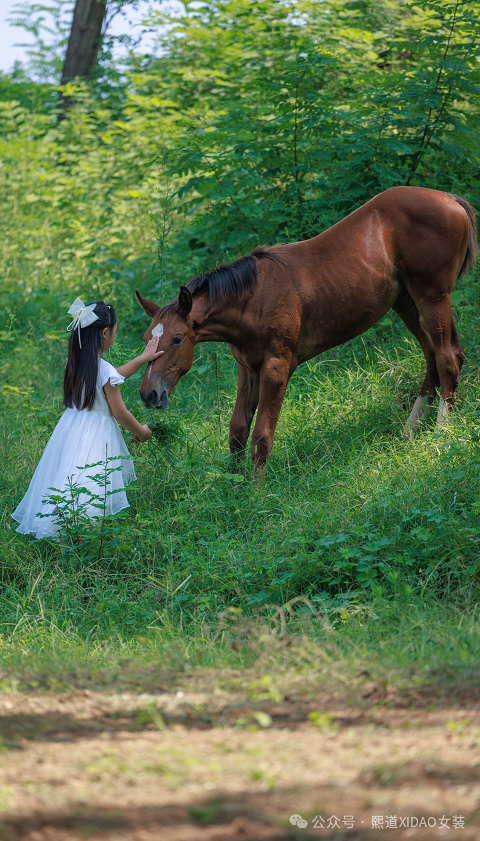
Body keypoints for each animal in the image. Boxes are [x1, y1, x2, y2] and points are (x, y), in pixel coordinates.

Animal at [135, 187, 476, 472]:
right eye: (147, 339)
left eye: (177, 338)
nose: (149, 394)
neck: (253, 298)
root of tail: (449, 198)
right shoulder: (248, 368)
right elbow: (237, 431)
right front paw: (233, 485)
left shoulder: (277, 368)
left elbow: (262, 436)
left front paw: (257, 495)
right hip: (407, 305)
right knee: (433, 357)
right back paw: (409, 430)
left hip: (432, 298)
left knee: (447, 358)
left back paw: (441, 432)